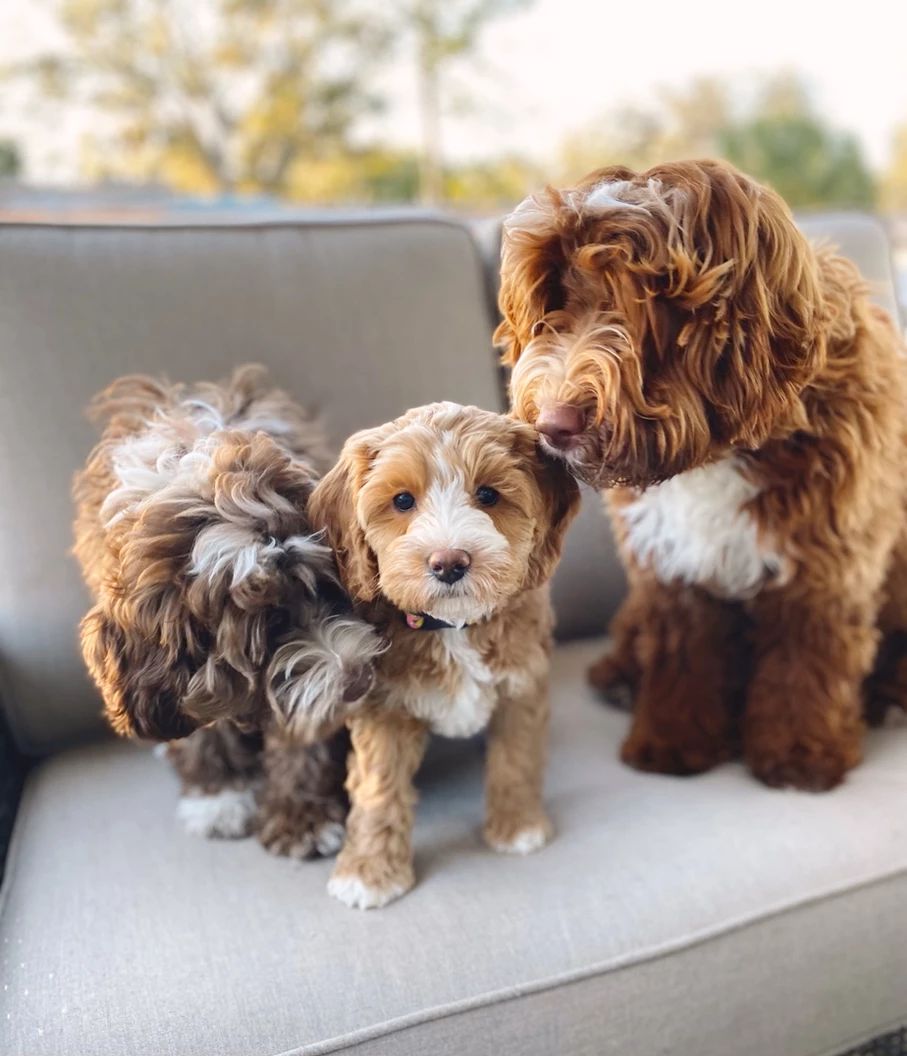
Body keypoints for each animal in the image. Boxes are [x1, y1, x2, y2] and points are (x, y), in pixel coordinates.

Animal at [500, 156, 903, 789]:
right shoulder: (671, 567)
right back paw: (619, 677)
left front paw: (798, 752)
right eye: (557, 303)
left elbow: (804, 656)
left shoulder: (825, 562)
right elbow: (683, 653)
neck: (717, 453)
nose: (554, 424)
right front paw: (672, 740)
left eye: (636, 302)